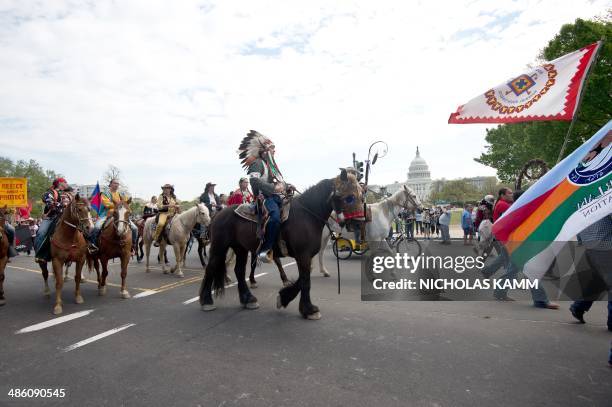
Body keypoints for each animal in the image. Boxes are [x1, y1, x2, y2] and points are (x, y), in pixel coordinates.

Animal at [200, 171, 364, 320]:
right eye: (350, 197)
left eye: (362, 195)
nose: (360, 223)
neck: (308, 215)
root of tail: (218, 214)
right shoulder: (303, 255)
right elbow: (305, 281)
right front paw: (309, 310)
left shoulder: (306, 257)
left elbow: (303, 278)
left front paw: (284, 298)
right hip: (219, 247)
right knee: (211, 268)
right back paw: (206, 301)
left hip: (240, 249)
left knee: (239, 271)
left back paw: (248, 299)